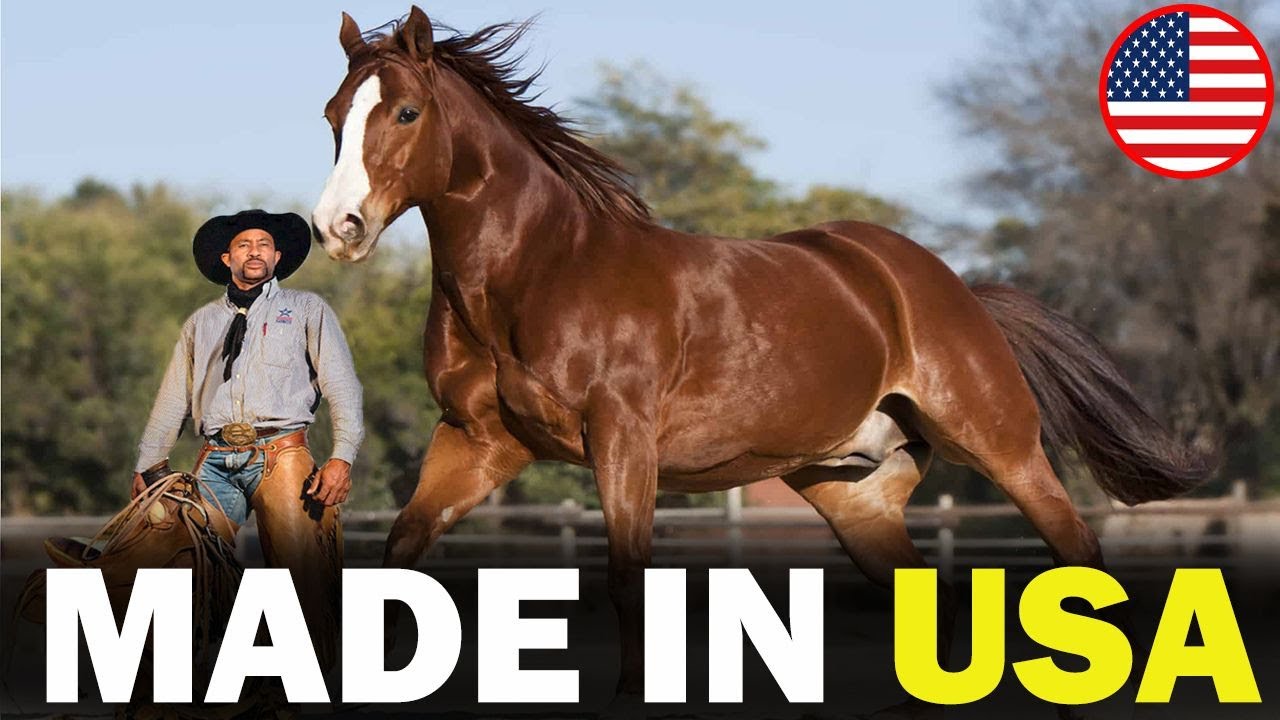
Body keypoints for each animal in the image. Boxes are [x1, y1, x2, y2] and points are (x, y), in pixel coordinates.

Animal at [311, 6, 1209, 706]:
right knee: (934, 598)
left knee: (1077, 555)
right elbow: (400, 554)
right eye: (332, 117)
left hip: (1000, 443)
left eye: (405, 113)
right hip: (854, 493)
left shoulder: (622, 442)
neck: (540, 269)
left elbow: (628, 580)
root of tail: (948, 287)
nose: (337, 228)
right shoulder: (479, 443)